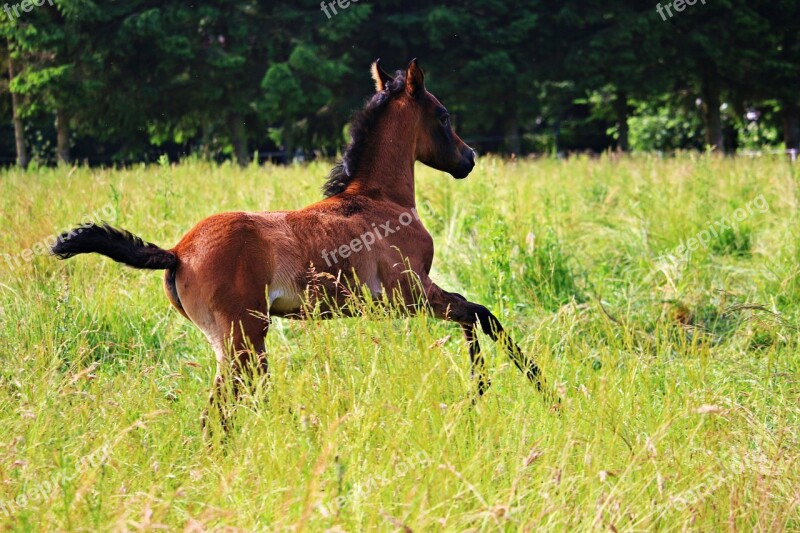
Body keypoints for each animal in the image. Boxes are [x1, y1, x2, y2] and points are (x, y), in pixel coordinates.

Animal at [50, 59, 552, 428]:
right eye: (443, 116)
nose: (469, 158)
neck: (378, 199)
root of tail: (177, 251)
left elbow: (474, 314)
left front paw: (495, 391)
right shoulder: (407, 292)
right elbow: (479, 313)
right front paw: (518, 391)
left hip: (233, 344)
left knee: (231, 405)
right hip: (244, 338)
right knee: (231, 406)